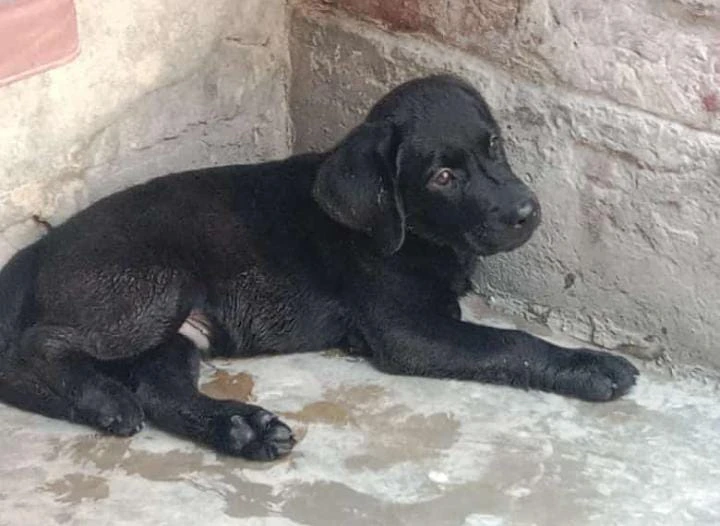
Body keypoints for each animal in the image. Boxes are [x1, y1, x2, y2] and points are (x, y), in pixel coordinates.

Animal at [0, 75, 640, 462]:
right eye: (442, 176)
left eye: (495, 146)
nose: (527, 212)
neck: (410, 231)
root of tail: (40, 250)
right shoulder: (411, 331)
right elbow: (512, 343)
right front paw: (588, 366)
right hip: (150, 288)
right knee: (38, 347)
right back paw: (102, 399)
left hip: (175, 332)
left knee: (160, 392)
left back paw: (241, 429)